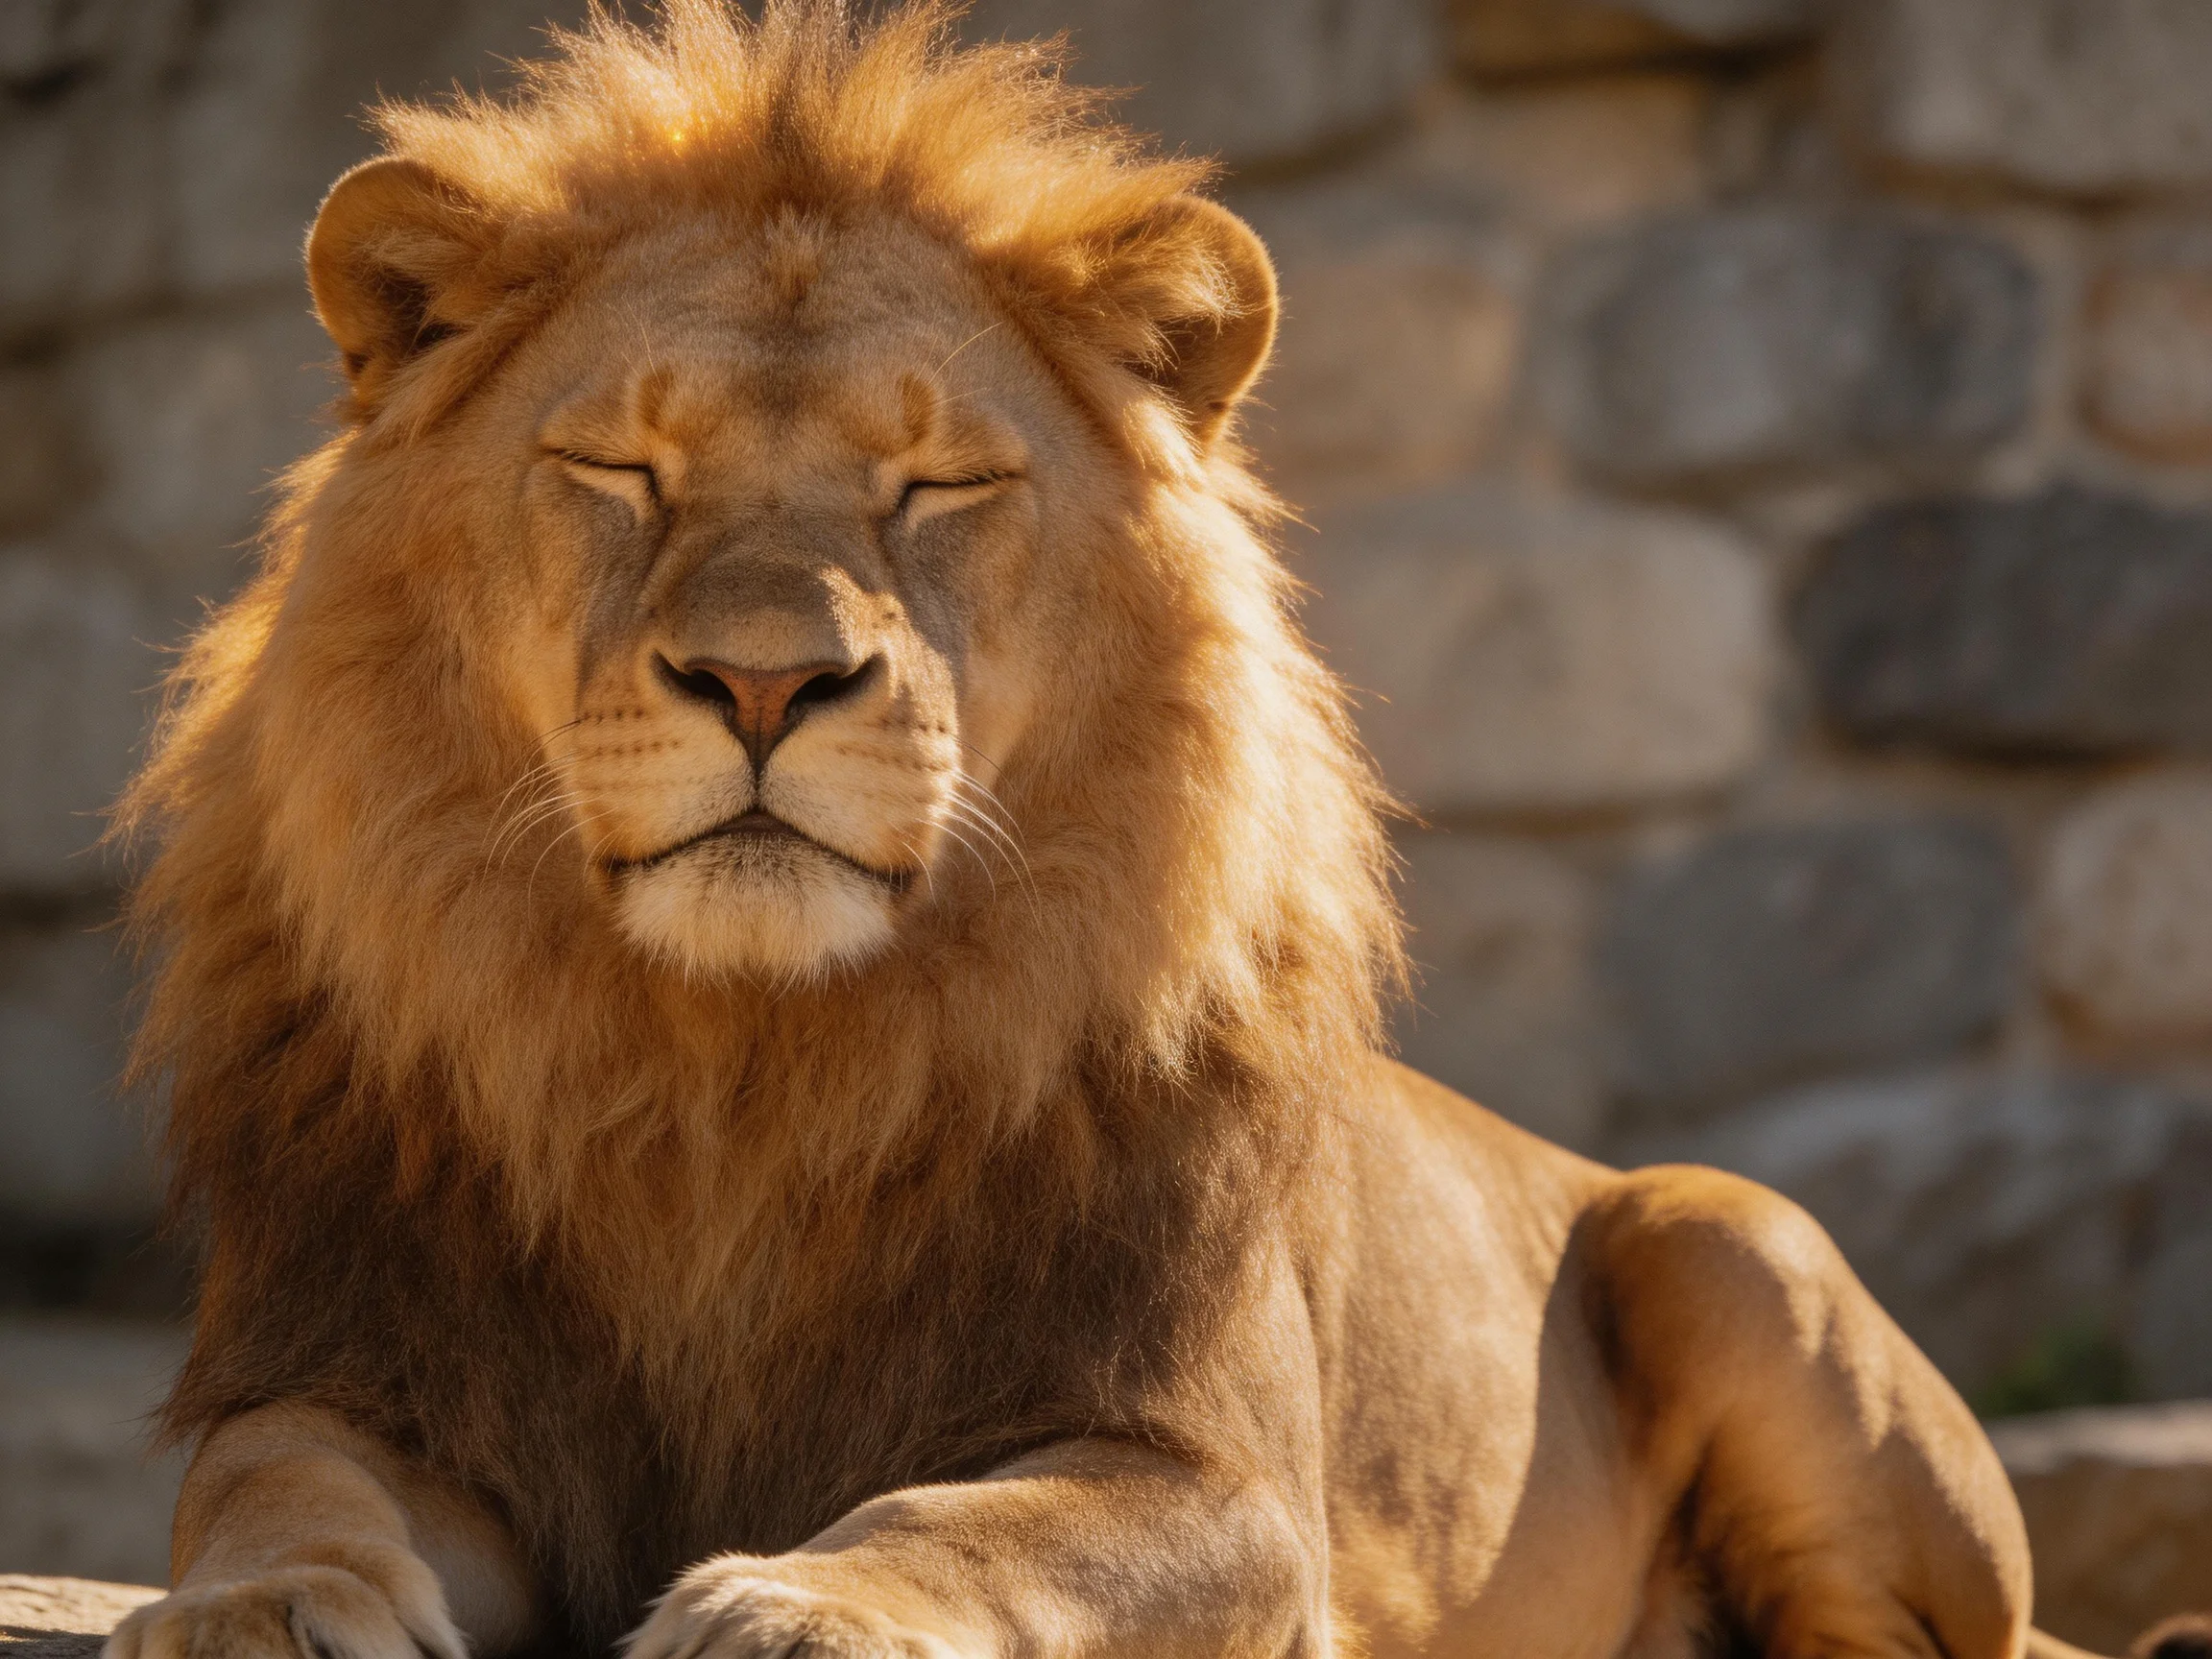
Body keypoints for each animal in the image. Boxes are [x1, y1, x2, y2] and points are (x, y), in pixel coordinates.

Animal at [101, 5, 2078, 1658]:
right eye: (617, 470)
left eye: (939, 485)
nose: (763, 679)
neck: (735, 1070)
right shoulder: (363, 1366)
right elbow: (275, 1482)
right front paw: (261, 1608)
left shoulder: (1217, 1480)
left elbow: (980, 1526)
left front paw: (798, 1604)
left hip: (1727, 1240)